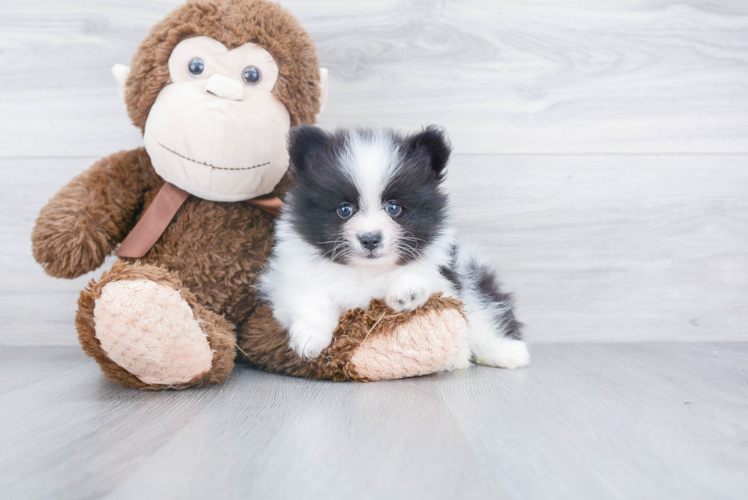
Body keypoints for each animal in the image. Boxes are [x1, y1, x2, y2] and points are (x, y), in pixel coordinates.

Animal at [260, 125, 528, 370]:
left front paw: (407, 290)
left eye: (393, 207)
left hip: (471, 275)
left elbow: (423, 279)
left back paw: (508, 353)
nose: (370, 239)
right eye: (345, 209)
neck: (366, 271)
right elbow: (311, 299)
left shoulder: (445, 274)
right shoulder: (290, 279)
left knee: (484, 314)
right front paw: (309, 339)